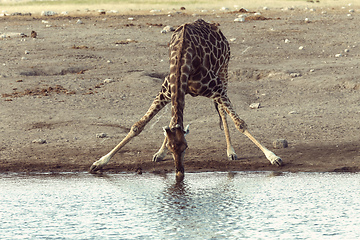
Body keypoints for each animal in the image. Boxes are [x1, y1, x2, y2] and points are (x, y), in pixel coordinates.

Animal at [89, 18, 282, 179]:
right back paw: (158, 154)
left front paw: (273, 157)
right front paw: (99, 162)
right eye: (171, 148)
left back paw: (230, 151)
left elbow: (240, 123)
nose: (179, 173)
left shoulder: (217, 89)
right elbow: (138, 126)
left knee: (222, 110)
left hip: (224, 71)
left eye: (186, 147)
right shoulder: (166, 92)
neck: (183, 59)